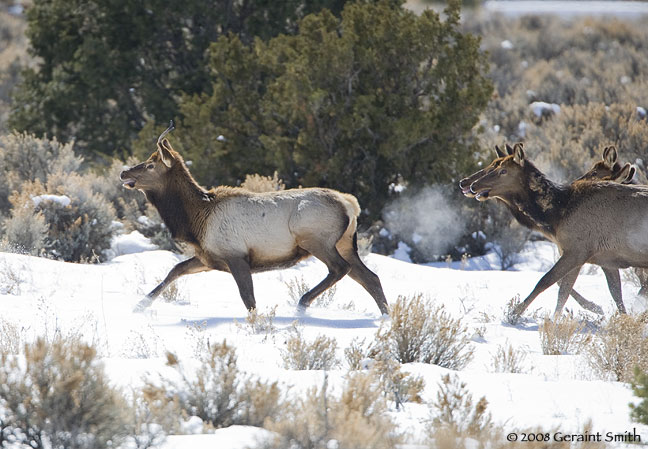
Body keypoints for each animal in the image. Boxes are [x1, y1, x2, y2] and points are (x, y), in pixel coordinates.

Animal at [119, 121, 388, 314]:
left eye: (151, 165)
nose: (123, 173)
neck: (195, 219)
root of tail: (351, 205)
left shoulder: (235, 255)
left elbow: (248, 298)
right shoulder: (209, 258)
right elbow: (175, 270)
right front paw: (139, 306)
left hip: (315, 239)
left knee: (340, 268)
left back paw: (302, 303)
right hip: (345, 244)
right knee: (371, 278)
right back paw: (386, 317)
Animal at [460, 144, 648, 316]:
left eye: (503, 170)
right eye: (494, 165)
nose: (470, 184)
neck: (557, 215)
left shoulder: (577, 250)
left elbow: (546, 281)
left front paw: (514, 313)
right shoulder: (600, 258)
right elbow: (608, 294)